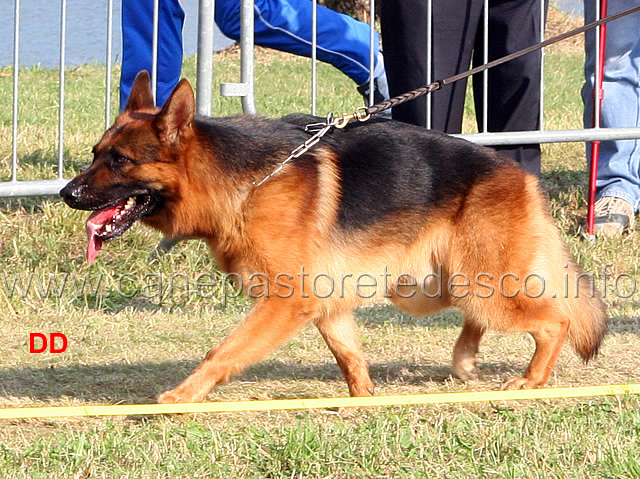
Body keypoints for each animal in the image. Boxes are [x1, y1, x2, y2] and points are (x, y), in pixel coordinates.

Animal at [62, 70, 608, 402]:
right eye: (95, 154)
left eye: (120, 161)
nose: (68, 193)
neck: (241, 182)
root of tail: (522, 177)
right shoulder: (324, 301)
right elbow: (348, 354)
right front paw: (362, 400)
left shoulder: (284, 302)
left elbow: (223, 351)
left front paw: (183, 396)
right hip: (429, 287)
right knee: (477, 318)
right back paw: (465, 361)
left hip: (480, 284)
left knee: (554, 321)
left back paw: (532, 379)